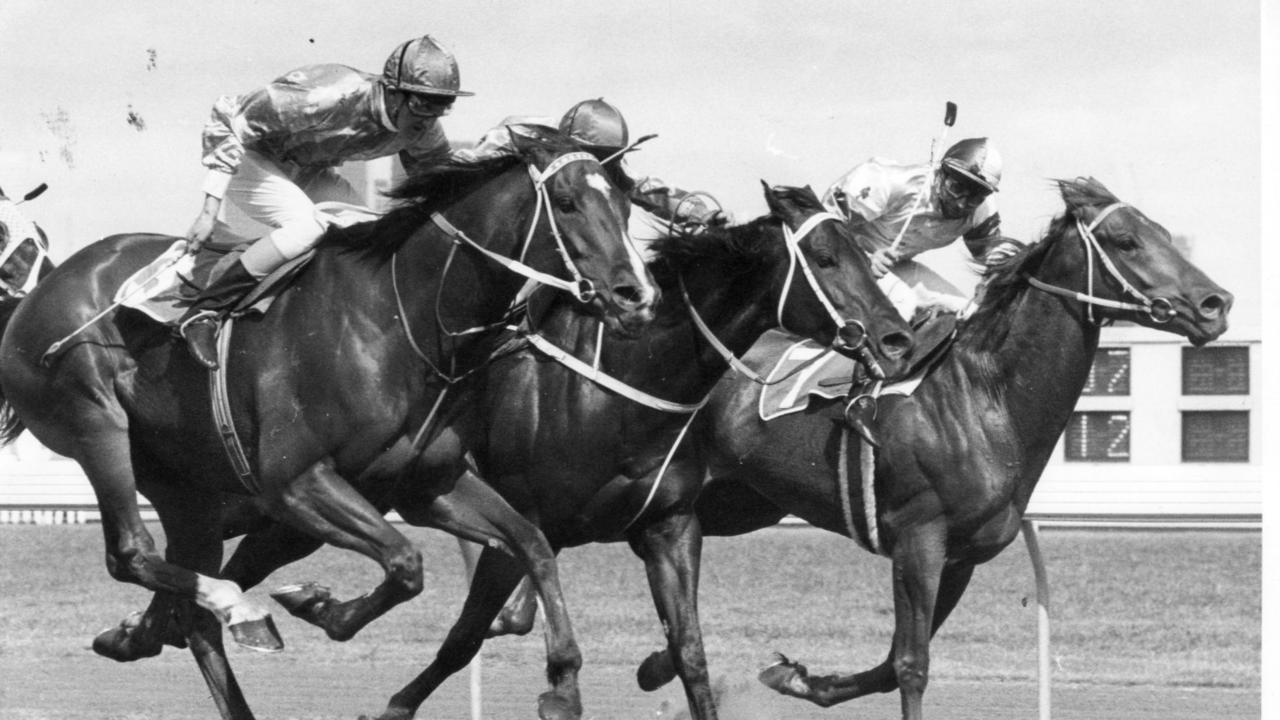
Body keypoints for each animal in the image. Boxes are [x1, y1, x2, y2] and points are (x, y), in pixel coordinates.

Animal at [0, 128, 660, 717]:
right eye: (568, 202)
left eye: (627, 204)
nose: (637, 296)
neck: (402, 318)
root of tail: (44, 289)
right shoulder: (297, 484)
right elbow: (406, 564)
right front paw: (318, 606)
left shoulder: (425, 484)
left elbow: (532, 543)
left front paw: (564, 681)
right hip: (95, 423)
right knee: (133, 554)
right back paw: (238, 608)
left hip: (183, 484)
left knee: (187, 604)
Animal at [629, 175, 1228, 717]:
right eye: (1126, 241)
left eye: (1163, 233)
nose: (1215, 303)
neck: (981, 396)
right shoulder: (919, 539)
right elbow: (911, 665)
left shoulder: (962, 556)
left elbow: (887, 667)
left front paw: (796, 677)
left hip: (737, 502)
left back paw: (657, 663)